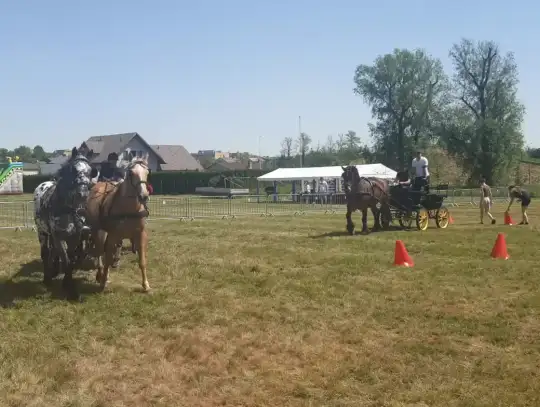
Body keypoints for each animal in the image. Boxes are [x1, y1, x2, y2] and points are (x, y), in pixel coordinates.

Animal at [85, 155, 151, 292]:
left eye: (147, 172)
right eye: (131, 173)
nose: (144, 196)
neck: (129, 209)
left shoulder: (140, 234)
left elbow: (142, 261)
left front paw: (145, 285)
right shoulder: (113, 235)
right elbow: (107, 259)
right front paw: (103, 282)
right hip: (99, 231)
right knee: (99, 253)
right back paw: (100, 275)